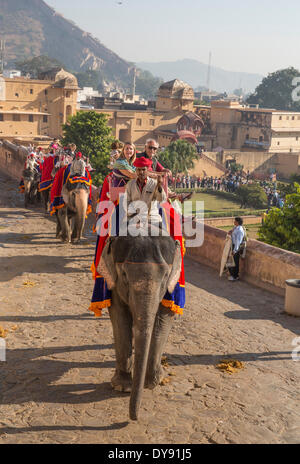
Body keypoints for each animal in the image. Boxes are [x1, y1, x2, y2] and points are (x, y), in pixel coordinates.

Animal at [99, 236, 182, 420]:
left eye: (166, 275)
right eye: (124, 274)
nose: (135, 418)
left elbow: (166, 315)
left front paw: (153, 383)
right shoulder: (114, 283)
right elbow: (119, 316)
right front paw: (122, 387)